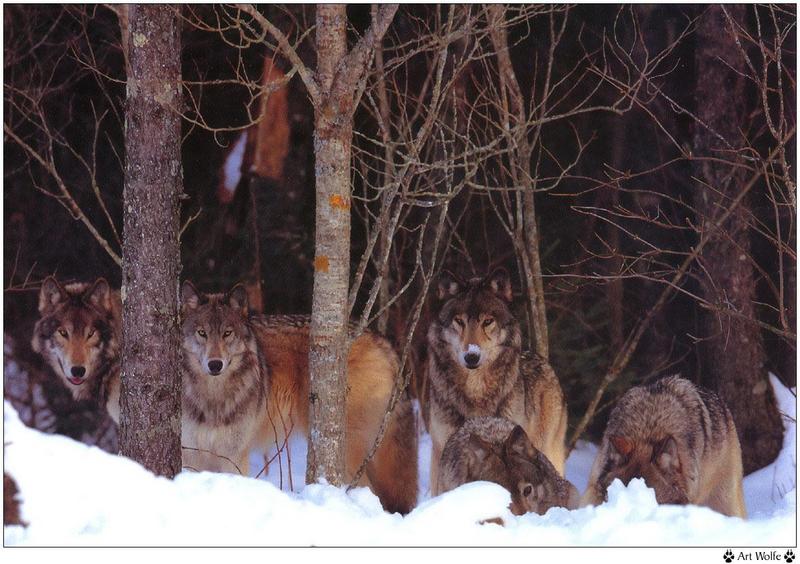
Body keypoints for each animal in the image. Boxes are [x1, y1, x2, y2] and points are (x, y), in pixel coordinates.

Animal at [181, 282, 418, 516]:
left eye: (227, 333)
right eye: (202, 333)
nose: (215, 364)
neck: (213, 399)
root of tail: (379, 339)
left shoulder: (233, 456)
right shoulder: (191, 455)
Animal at [424, 268, 568, 494]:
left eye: (487, 321)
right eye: (459, 321)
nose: (471, 356)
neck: (475, 391)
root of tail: (544, 361)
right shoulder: (442, 451)